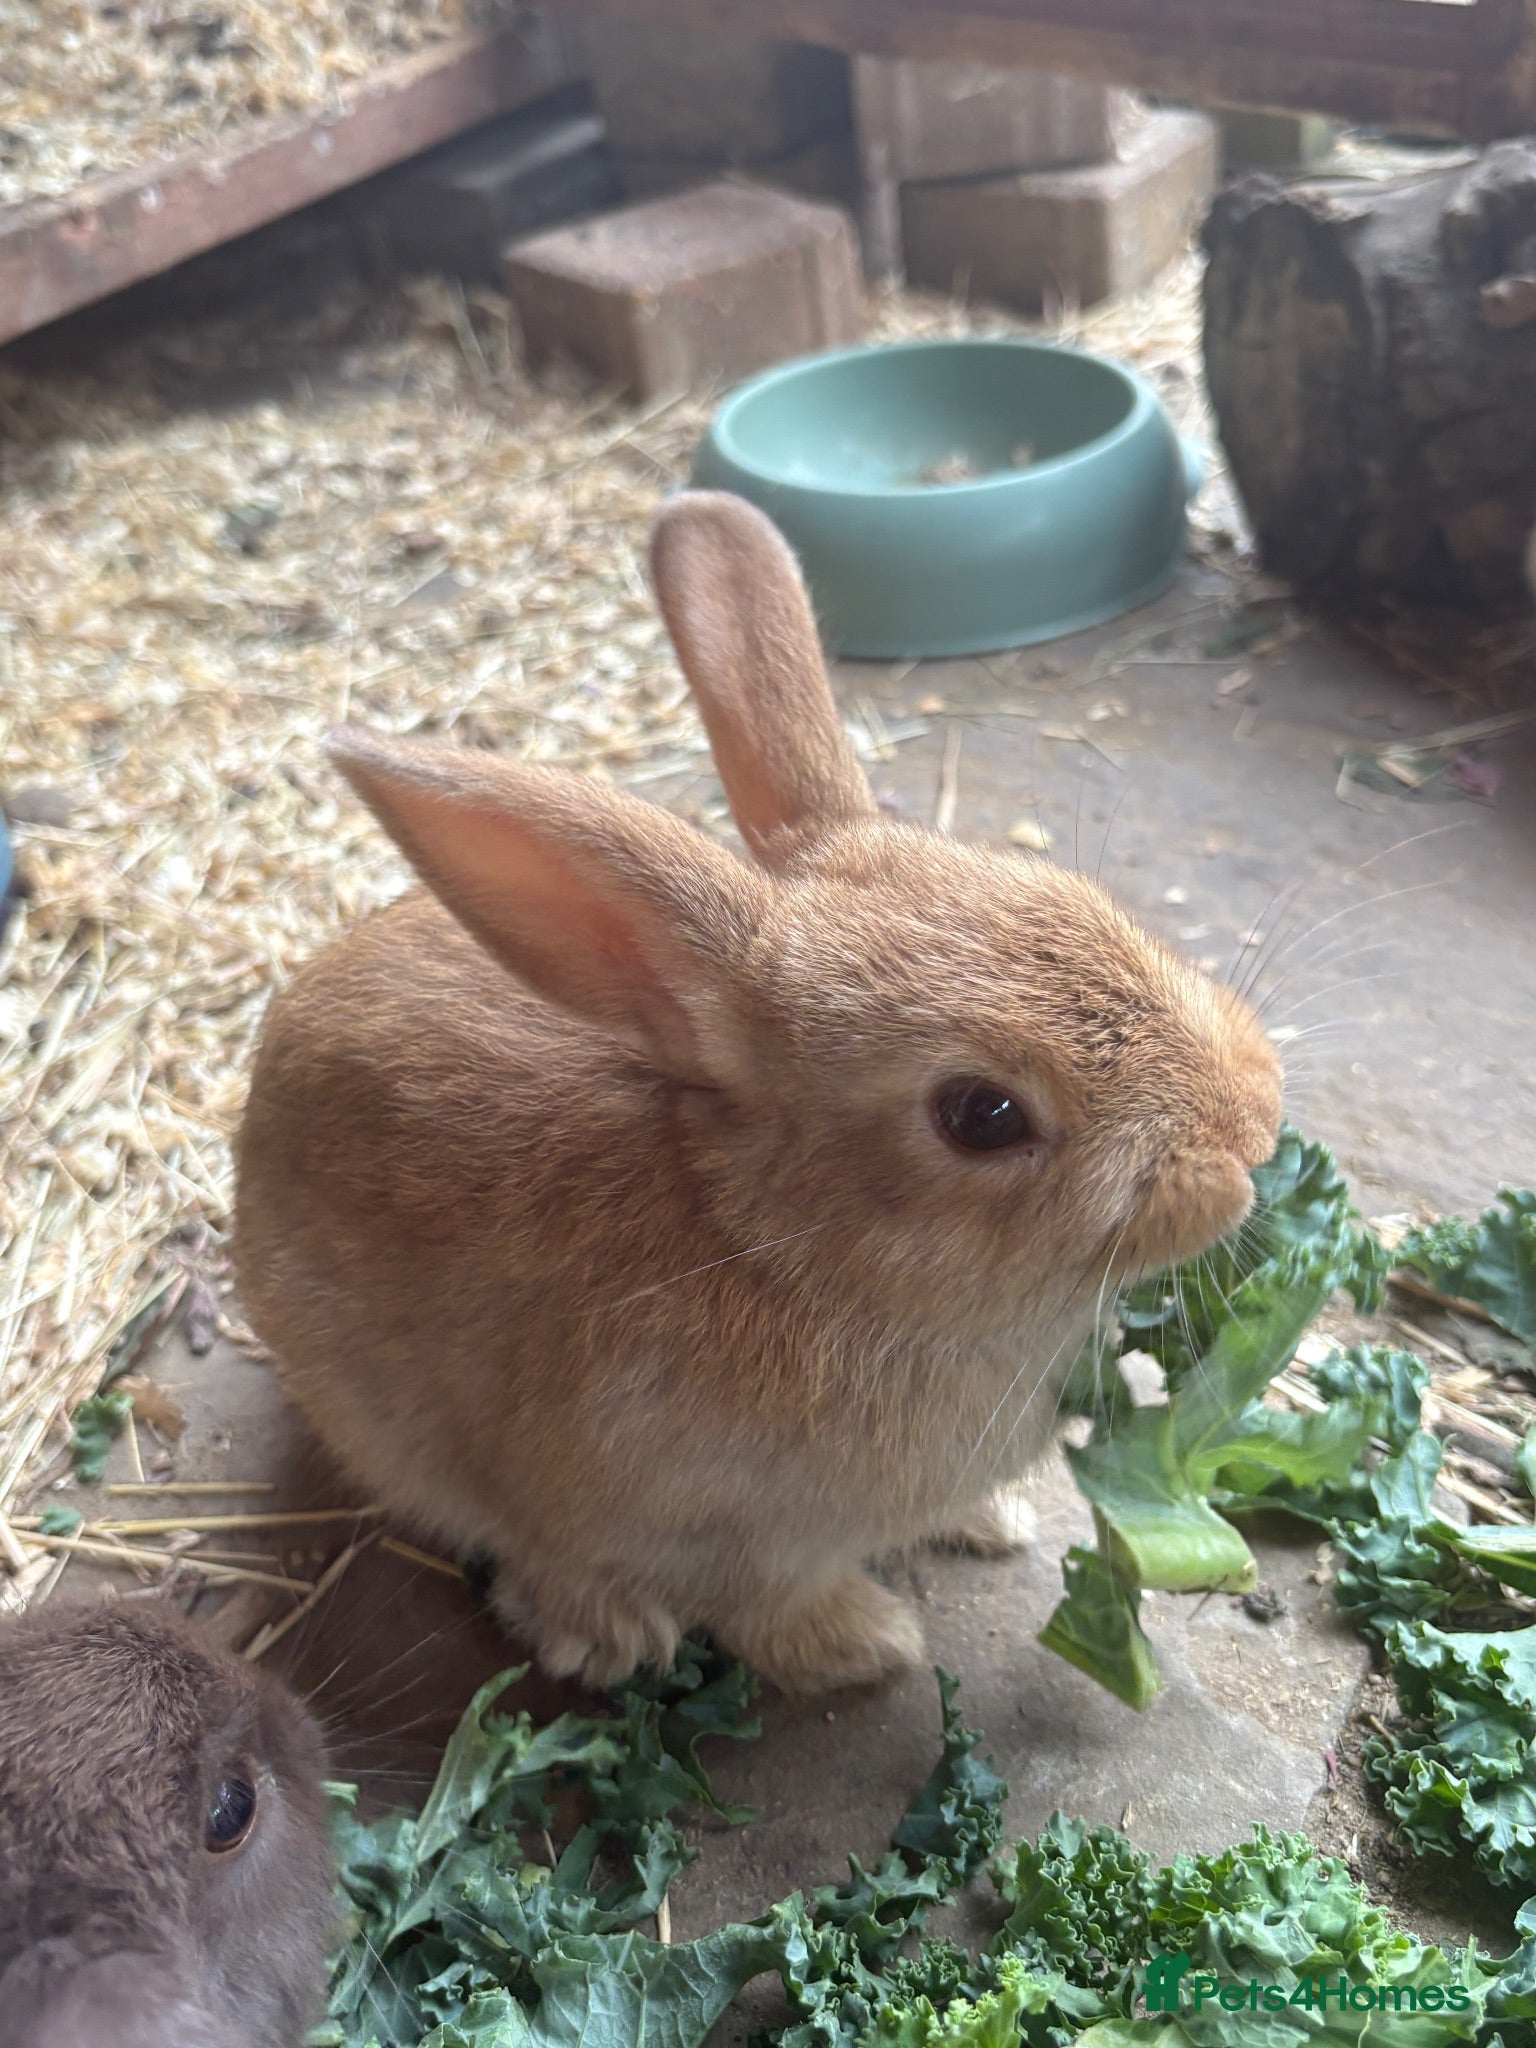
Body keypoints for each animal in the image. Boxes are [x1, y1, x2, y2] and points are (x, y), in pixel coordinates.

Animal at [234, 490, 1283, 1697]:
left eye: (1071, 892)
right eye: (983, 1115)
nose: (1253, 1131)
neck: (785, 1249)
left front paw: (994, 1523)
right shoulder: (700, 1528)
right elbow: (752, 1602)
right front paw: (867, 1645)